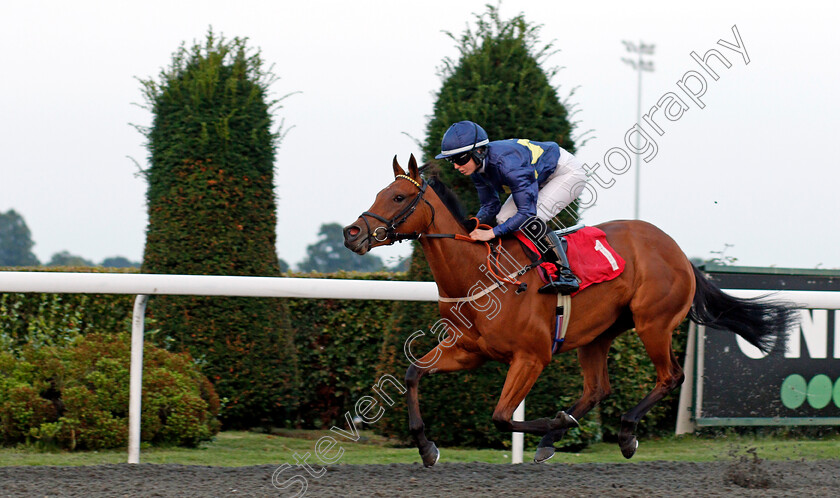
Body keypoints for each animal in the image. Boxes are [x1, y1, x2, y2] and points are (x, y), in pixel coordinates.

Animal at [342, 157, 796, 466]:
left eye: (398, 196)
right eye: (379, 193)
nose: (352, 233)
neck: (478, 274)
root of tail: (682, 255)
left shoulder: (531, 356)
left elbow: (502, 416)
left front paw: (551, 424)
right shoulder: (470, 352)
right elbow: (412, 374)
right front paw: (425, 446)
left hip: (654, 323)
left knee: (671, 376)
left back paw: (623, 433)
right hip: (598, 334)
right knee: (598, 389)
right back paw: (552, 441)